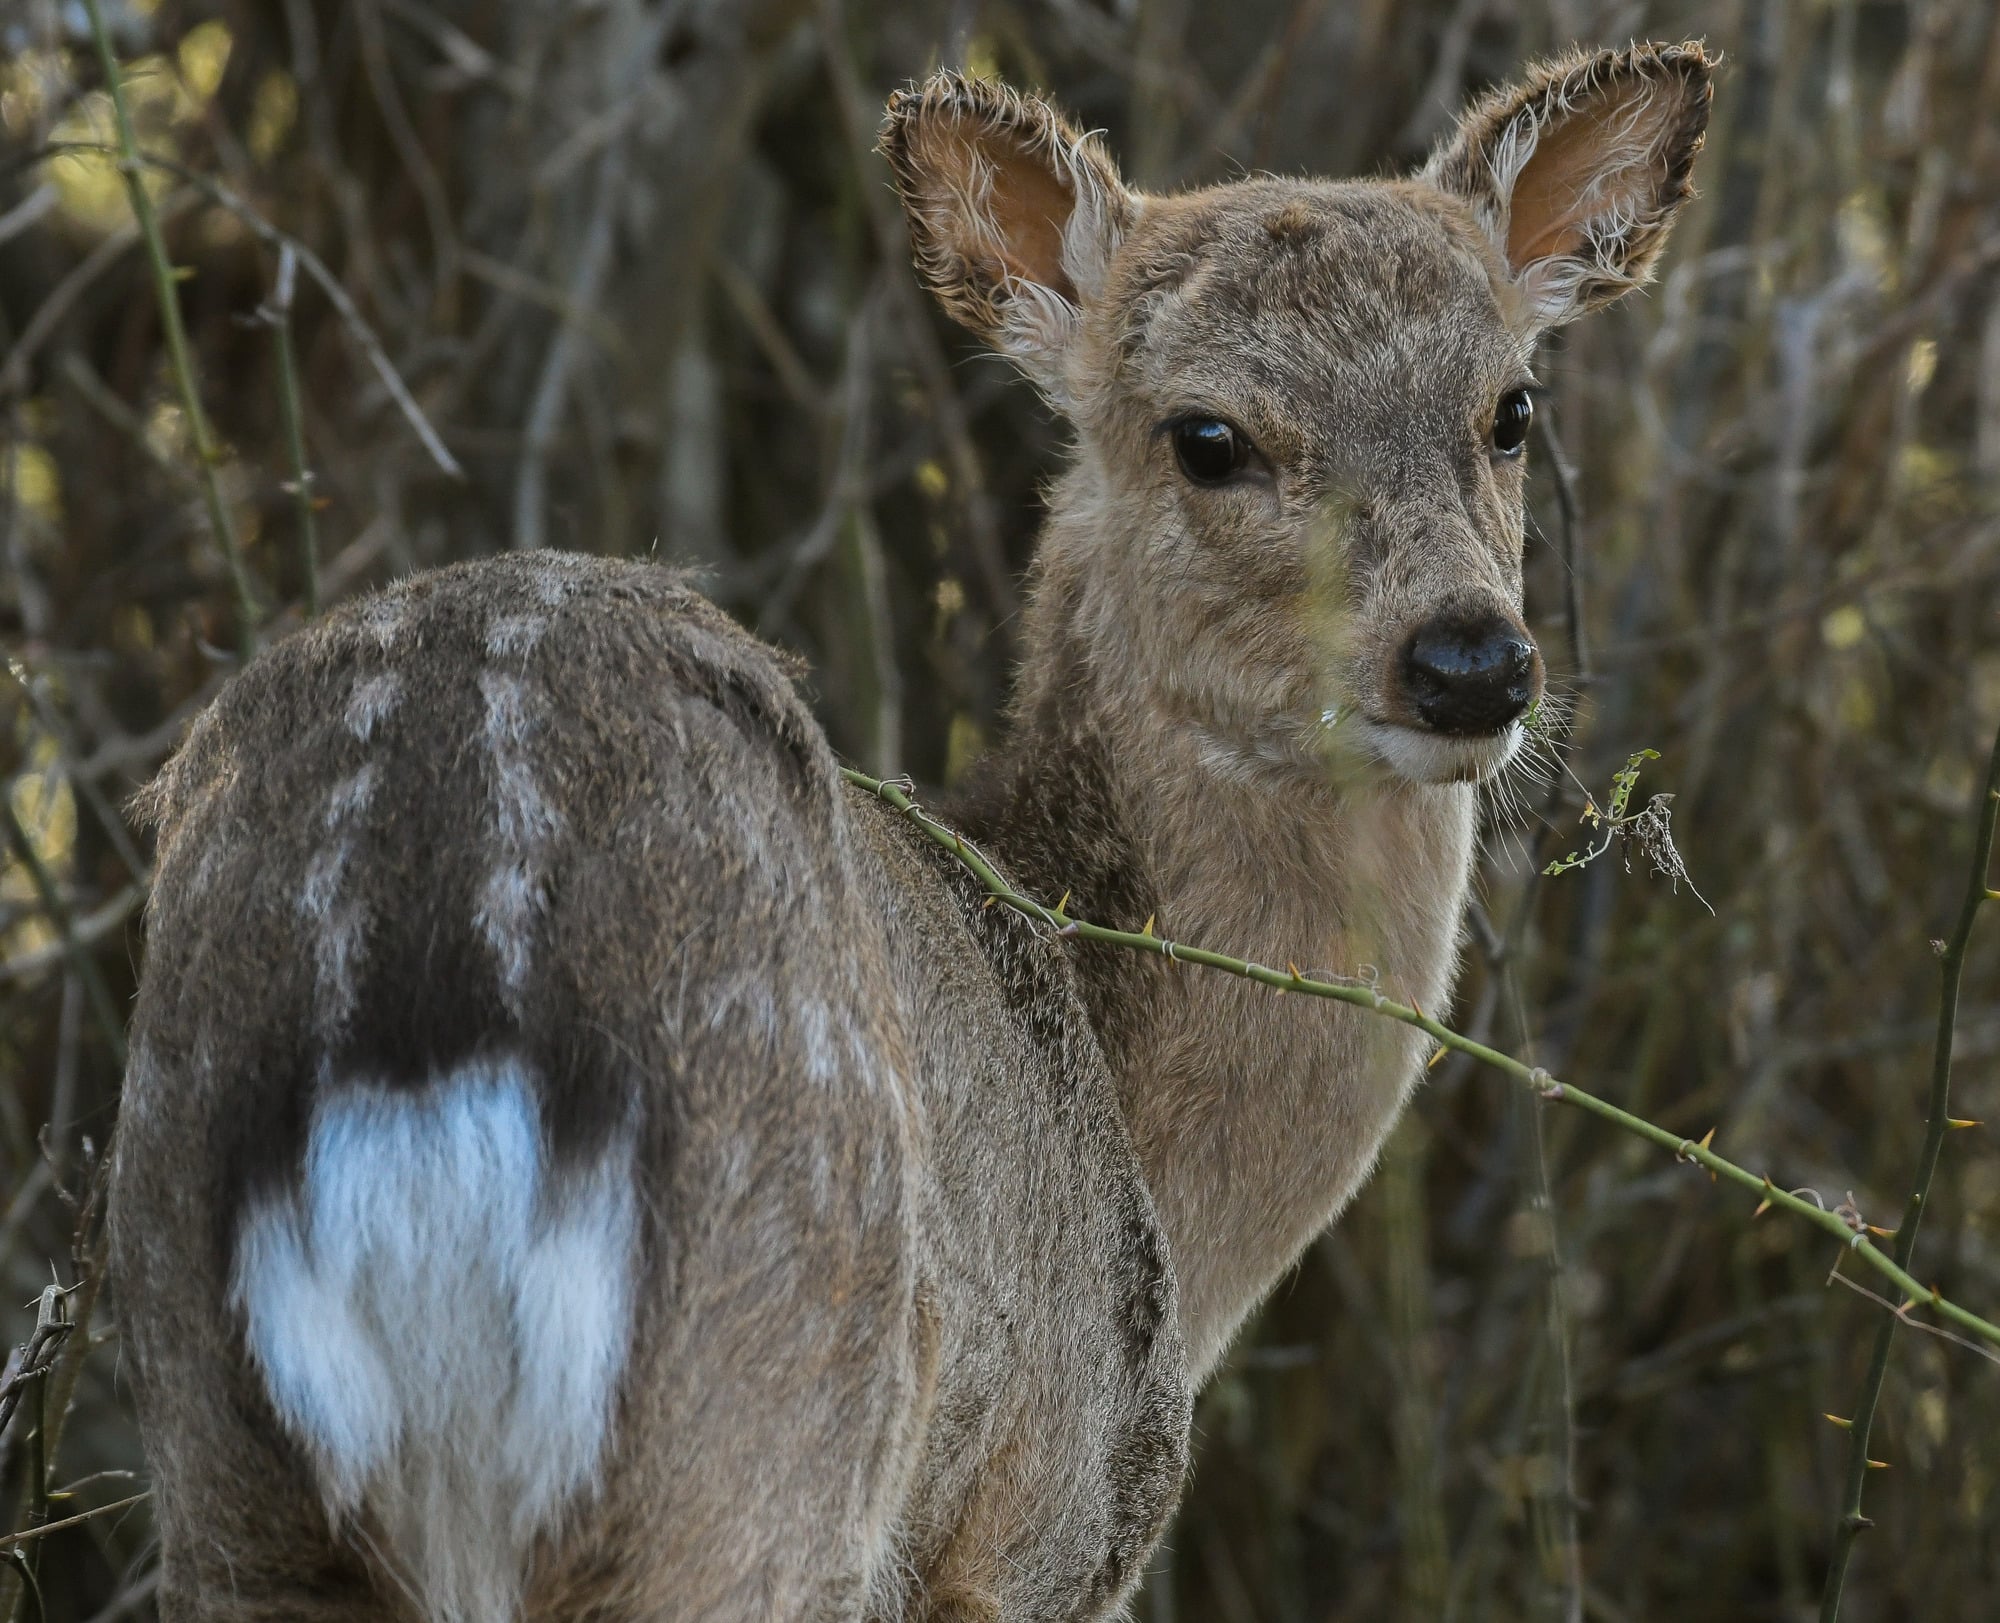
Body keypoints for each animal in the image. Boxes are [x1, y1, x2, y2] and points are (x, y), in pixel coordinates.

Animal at [108, 42, 1713, 1623]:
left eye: (1511, 408)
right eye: (1206, 437)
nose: (1470, 661)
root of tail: (421, 1034)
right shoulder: (1033, 1524)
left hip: (232, 1482)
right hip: (760, 1411)